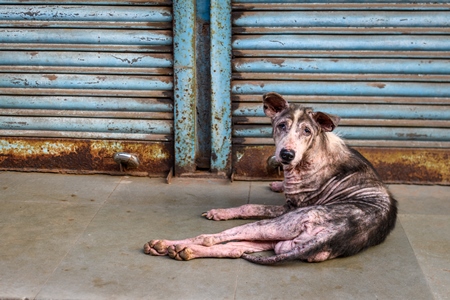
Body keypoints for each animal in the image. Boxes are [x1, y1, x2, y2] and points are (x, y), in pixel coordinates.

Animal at [145, 92, 398, 264]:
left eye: (307, 131)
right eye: (281, 125)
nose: (286, 155)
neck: (314, 151)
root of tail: (334, 235)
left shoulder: (290, 207)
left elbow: (249, 206)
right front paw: (277, 184)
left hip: (278, 224)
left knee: (213, 237)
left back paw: (170, 244)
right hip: (279, 241)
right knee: (236, 249)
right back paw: (176, 250)